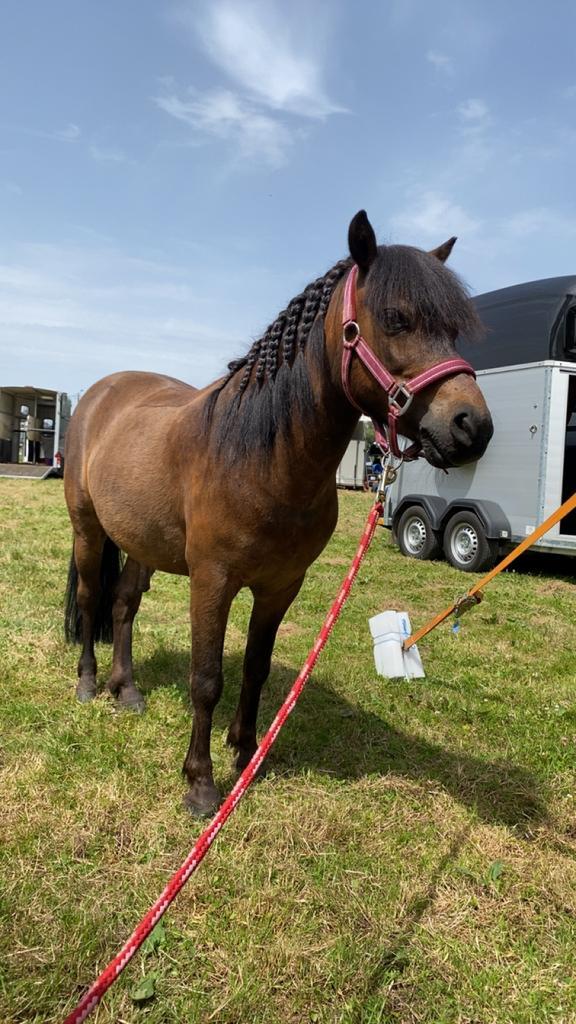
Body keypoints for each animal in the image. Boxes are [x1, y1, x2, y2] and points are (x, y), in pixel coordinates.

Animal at [63, 210, 493, 815]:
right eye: (396, 318)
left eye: (453, 329)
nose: (472, 427)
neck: (263, 459)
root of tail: (101, 393)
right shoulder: (212, 581)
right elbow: (207, 678)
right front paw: (201, 784)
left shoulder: (281, 585)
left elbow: (256, 667)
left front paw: (246, 754)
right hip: (89, 529)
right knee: (89, 598)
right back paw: (88, 684)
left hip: (141, 542)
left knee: (124, 604)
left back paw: (126, 691)